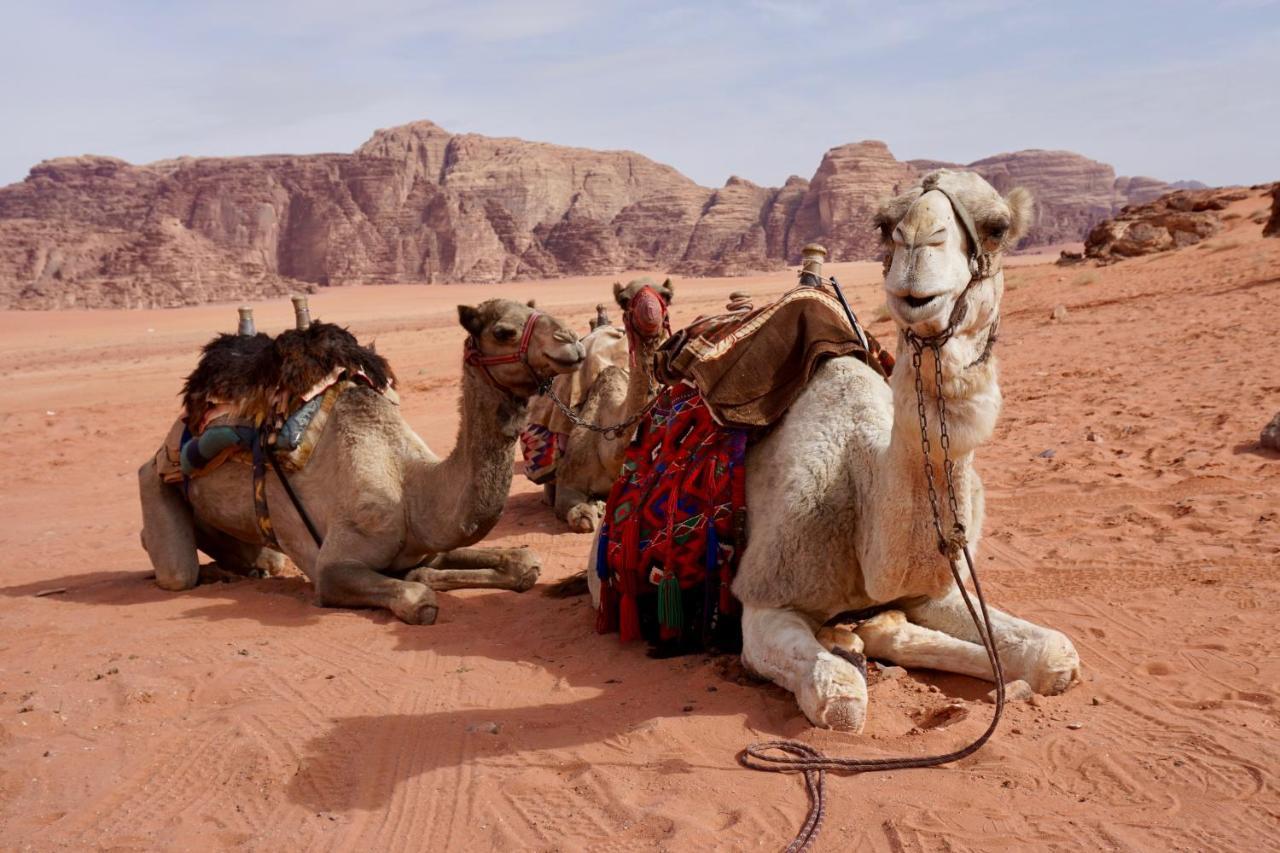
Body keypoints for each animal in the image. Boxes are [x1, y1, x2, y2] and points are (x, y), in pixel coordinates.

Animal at [137, 297, 586, 617]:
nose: (572, 342)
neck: (411, 488)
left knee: (258, 554)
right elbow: (418, 599)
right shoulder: (332, 568)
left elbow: (524, 562)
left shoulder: (425, 542)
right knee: (177, 568)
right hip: (155, 476)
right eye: (504, 331)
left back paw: (248, 566)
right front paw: (422, 585)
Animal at [545, 279, 675, 527]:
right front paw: (592, 509)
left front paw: (601, 505)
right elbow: (582, 519)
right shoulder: (569, 480)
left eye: (666, 295)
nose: (650, 313)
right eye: (624, 299)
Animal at [588, 171, 1080, 722]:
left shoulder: (930, 588)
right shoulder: (765, 597)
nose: (918, 243)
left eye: (998, 228)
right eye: (885, 225)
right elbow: (841, 697)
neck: (864, 480)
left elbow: (1056, 653)